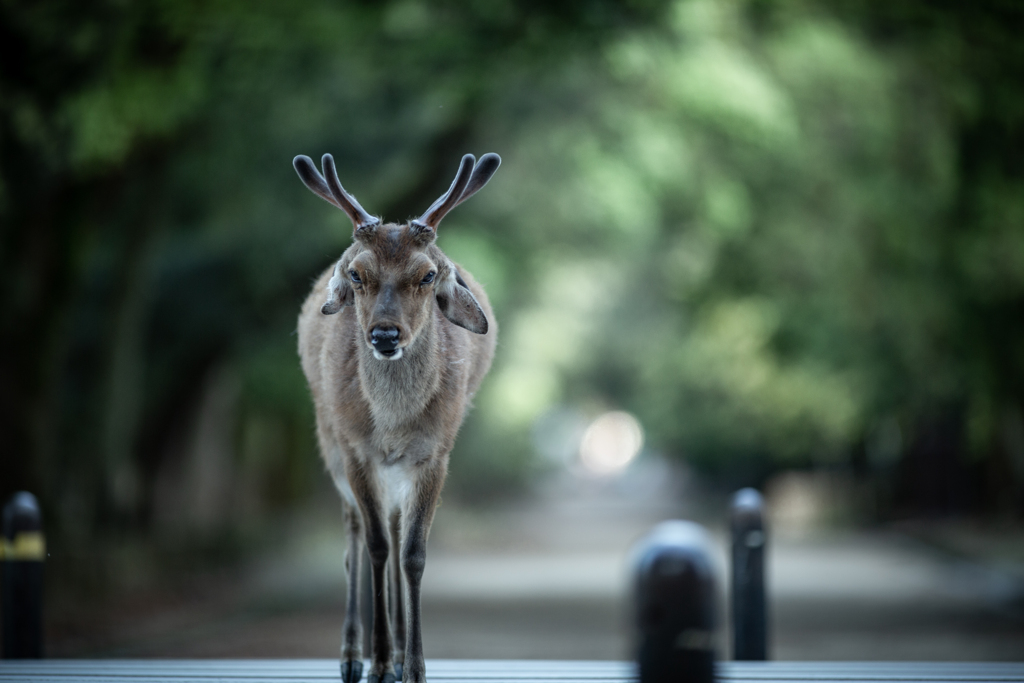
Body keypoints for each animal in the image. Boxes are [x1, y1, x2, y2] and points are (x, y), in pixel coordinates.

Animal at [292, 153, 499, 683]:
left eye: (426, 276)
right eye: (357, 274)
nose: (384, 335)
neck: (391, 424)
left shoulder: (435, 454)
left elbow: (413, 554)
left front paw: (414, 665)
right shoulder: (356, 452)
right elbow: (377, 548)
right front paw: (381, 660)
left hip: (397, 469)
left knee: (393, 525)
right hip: (328, 439)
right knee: (355, 537)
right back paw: (352, 655)